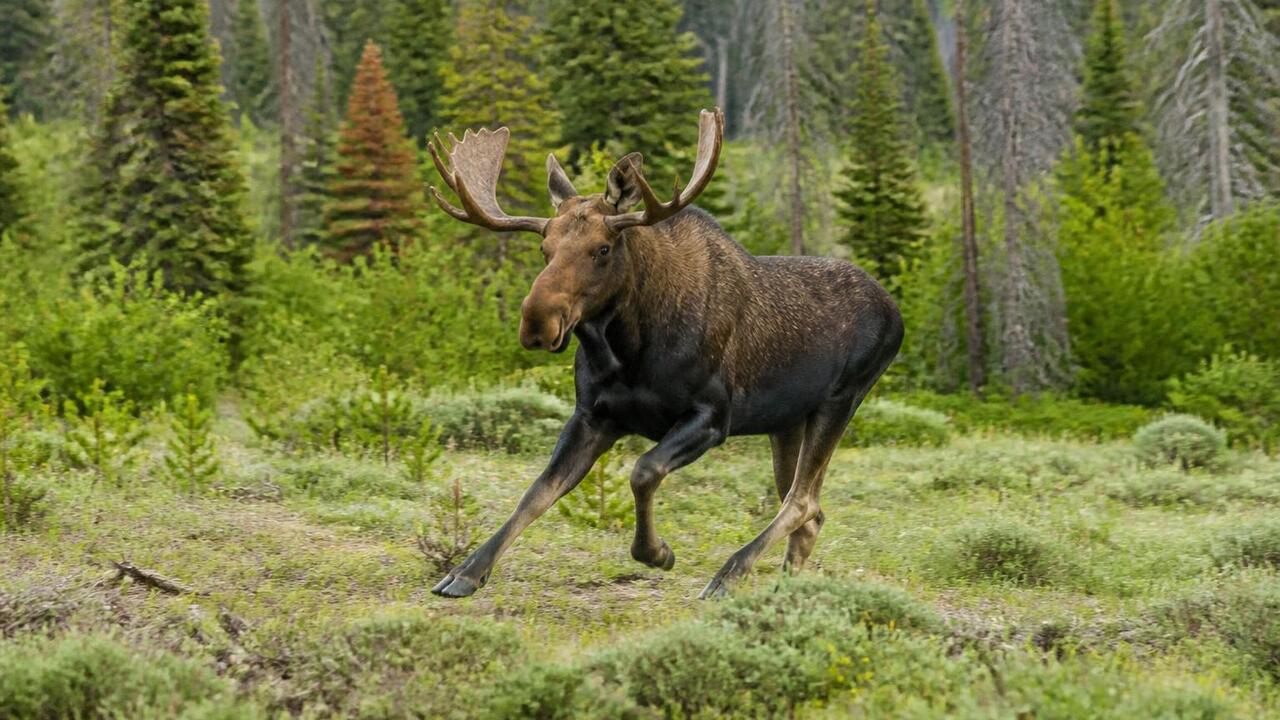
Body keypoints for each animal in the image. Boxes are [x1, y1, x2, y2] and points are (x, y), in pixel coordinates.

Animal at [426, 109, 902, 599]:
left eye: (602, 249)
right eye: (544, 249)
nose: (538, 322)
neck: (627, 352)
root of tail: (896, 310)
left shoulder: (713, 417)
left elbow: (644, 470)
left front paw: (656, 552)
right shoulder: (593, 416)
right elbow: (536, 492)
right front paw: (467, 570)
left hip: (841, 400)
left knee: (801, 501)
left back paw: (729, 573)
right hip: (787, 423)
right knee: (812, 512)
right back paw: (782, 588)